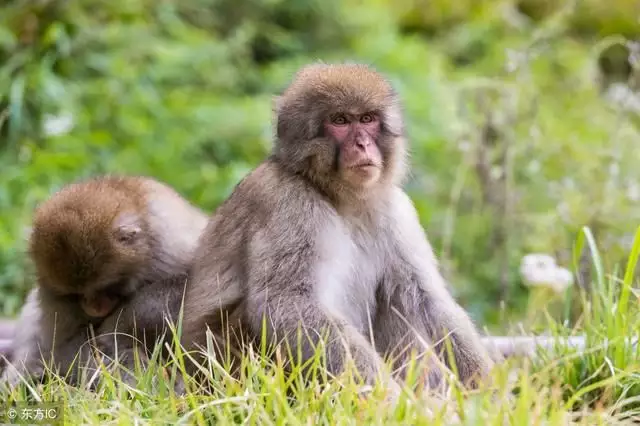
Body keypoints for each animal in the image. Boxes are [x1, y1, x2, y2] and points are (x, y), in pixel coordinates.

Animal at [180, 63, 496, 396]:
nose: (363, 144)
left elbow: (426, 297)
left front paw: (486, 392)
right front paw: (392, 399)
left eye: (367, 119)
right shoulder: (289, 204)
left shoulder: (396, 209)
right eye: (340, 121)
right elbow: (287, 303)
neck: (339, 197)